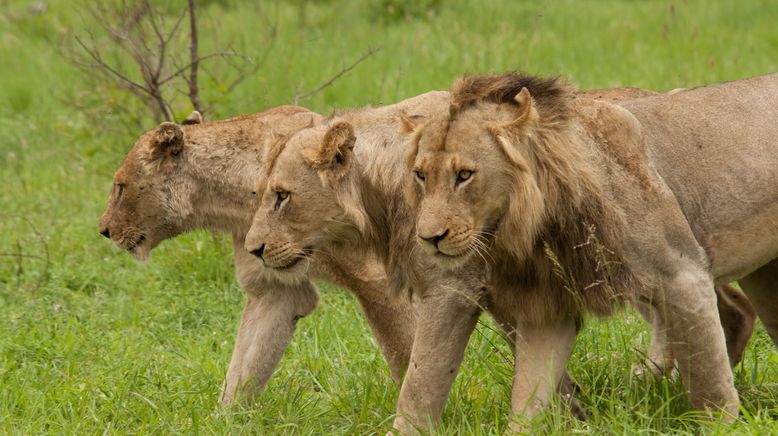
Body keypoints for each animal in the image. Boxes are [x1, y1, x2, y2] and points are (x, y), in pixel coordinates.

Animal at [400, 73, 776, 428]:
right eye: (420, 175)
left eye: (464, 174)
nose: (428, 238)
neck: (537, 224)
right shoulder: (550, 307)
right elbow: (529, 395)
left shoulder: (683, 276)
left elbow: (709, 384)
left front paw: (725, 427)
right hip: (764, 278)